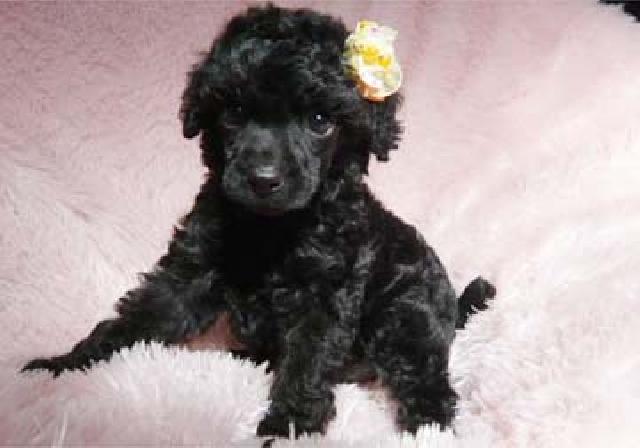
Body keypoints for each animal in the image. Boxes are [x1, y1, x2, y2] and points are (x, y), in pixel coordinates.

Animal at [23, 4, 496, 440]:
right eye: (232, 112)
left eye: (320, 121)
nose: (263, 180)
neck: (271, 228)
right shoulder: (190, 271)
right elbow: (140, 315)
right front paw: (64, 366)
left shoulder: (326, 294)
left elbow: (308, 357)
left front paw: (288, 425)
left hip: (406, 314)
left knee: (424, 375)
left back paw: (428, 426)